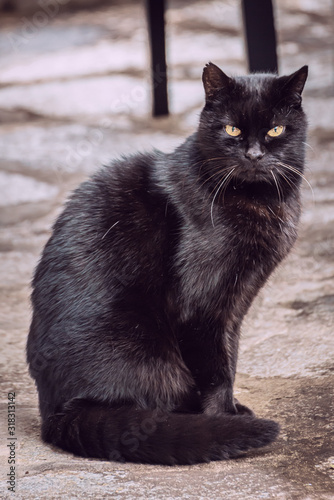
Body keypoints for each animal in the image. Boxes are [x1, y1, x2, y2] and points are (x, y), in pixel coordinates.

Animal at [27, 62, 310, 464]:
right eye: (232, 129)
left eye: (276, 129)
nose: (254, 155)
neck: (258, 200)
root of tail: (56, 413)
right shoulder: (201, 306)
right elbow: (215, 370)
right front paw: (223, 419)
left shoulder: (235, 304)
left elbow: (230, 356)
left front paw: (232, 409)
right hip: (146, 350)